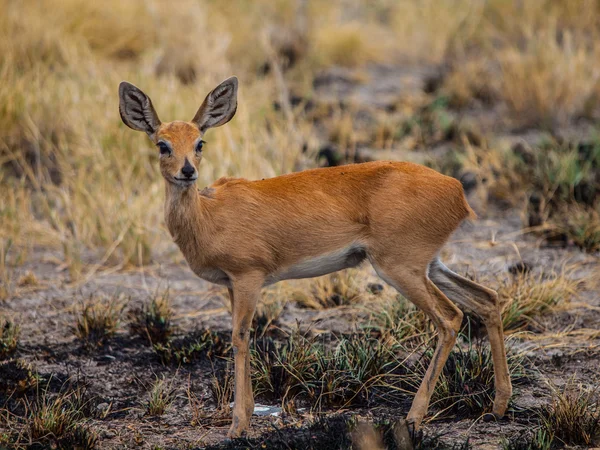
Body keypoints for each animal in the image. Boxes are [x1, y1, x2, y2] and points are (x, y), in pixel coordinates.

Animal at [119, 76, 512, 436]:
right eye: (162, 145)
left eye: (199, 142)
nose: (188, 171)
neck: (208, 216)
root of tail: (457, 191)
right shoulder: (231, 285)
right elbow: (240, 337)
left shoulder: (248, 278)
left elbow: (239, 337)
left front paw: (238, 425)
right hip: (430, 265)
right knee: (488, 299)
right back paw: (498, 406)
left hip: (399, 268)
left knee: (450, 318)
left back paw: (414, 417)